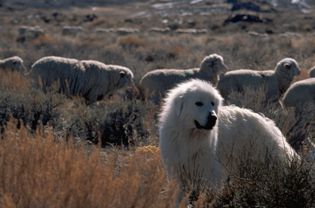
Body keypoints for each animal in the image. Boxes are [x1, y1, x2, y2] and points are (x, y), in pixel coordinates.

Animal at [160, 79, 298, 207]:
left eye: (212, 103)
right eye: (198, 103)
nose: (213, 118)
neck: (190, 135)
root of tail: (271, 125)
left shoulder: (210, 171)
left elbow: (208, 195)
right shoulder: (178, 171)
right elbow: (178, 197)